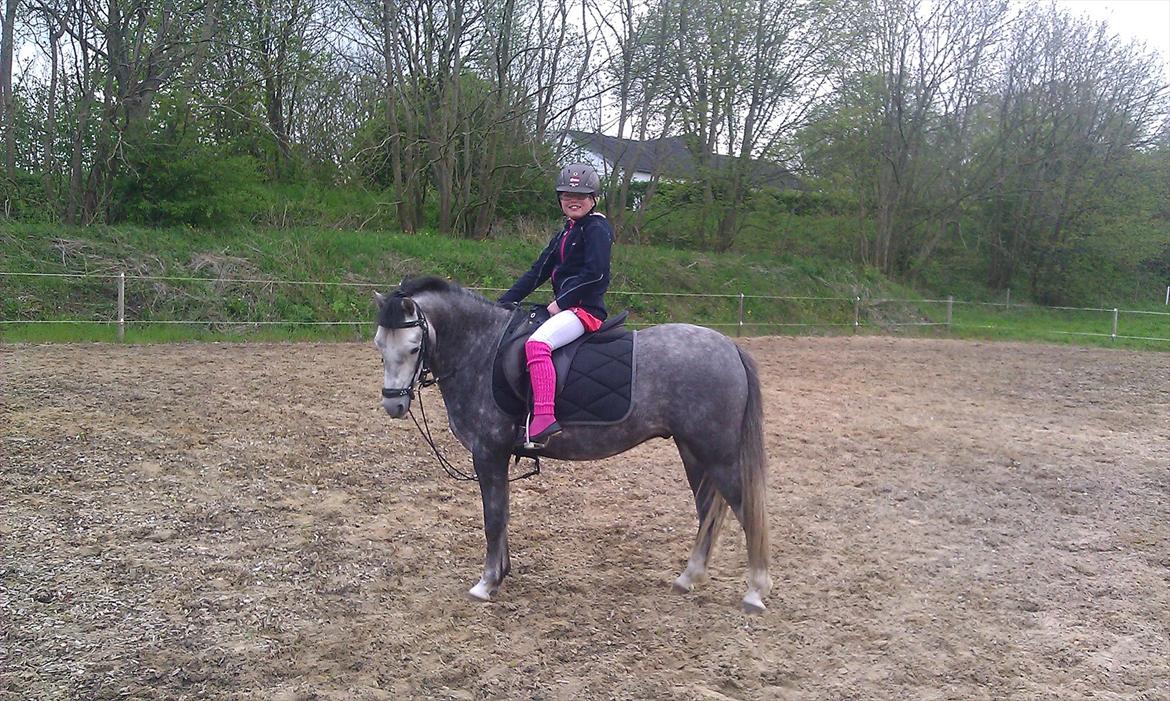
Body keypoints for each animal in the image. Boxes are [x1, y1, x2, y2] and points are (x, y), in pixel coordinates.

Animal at [373, 277, 772, 612]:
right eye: (379, 344)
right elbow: (502, 514)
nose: (393, 405)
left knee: (744, 508)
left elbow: (493, 517)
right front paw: (501, 573)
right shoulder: (497, 456)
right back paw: (688, 578)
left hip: (717, 454)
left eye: (414, 347)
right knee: (708, 509)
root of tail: (729, 346)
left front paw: (486, 583)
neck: (482, 351)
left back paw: (755, 591)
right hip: (693, 451)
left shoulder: (488, 453)